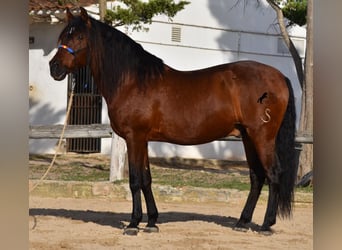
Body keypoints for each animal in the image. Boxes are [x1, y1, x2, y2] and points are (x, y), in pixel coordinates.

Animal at [48, 6, 296, 235]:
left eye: (79, 37)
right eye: (62, 37)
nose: (54, 68)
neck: (133, 81)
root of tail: (279, 76)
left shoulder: (134, 137)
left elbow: (135, 179)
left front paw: (133, 224)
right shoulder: (142, 139)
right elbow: (146, 178)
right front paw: (151, 222)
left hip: (262, 136)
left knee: (273, 174)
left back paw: (265, 225)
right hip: (247, 136)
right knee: (257, 177)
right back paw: (242, 222)